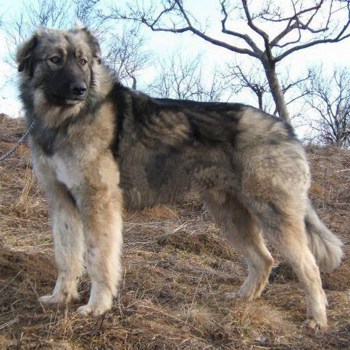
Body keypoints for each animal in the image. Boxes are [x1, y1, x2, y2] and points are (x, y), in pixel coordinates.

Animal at [16, 26, 342, 330]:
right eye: (55, 60)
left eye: (83, 61)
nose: (79, 89)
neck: (66, 120)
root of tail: (287, 129)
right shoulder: (62, 202)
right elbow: (66, 256)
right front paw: (60, 297)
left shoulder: (98, 203)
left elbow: (99, 259)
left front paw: (97, 306)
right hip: (229, 216)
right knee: (264, 260)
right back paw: (242, 299)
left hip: (273, 216)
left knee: (309, 267)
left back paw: (317, 318)